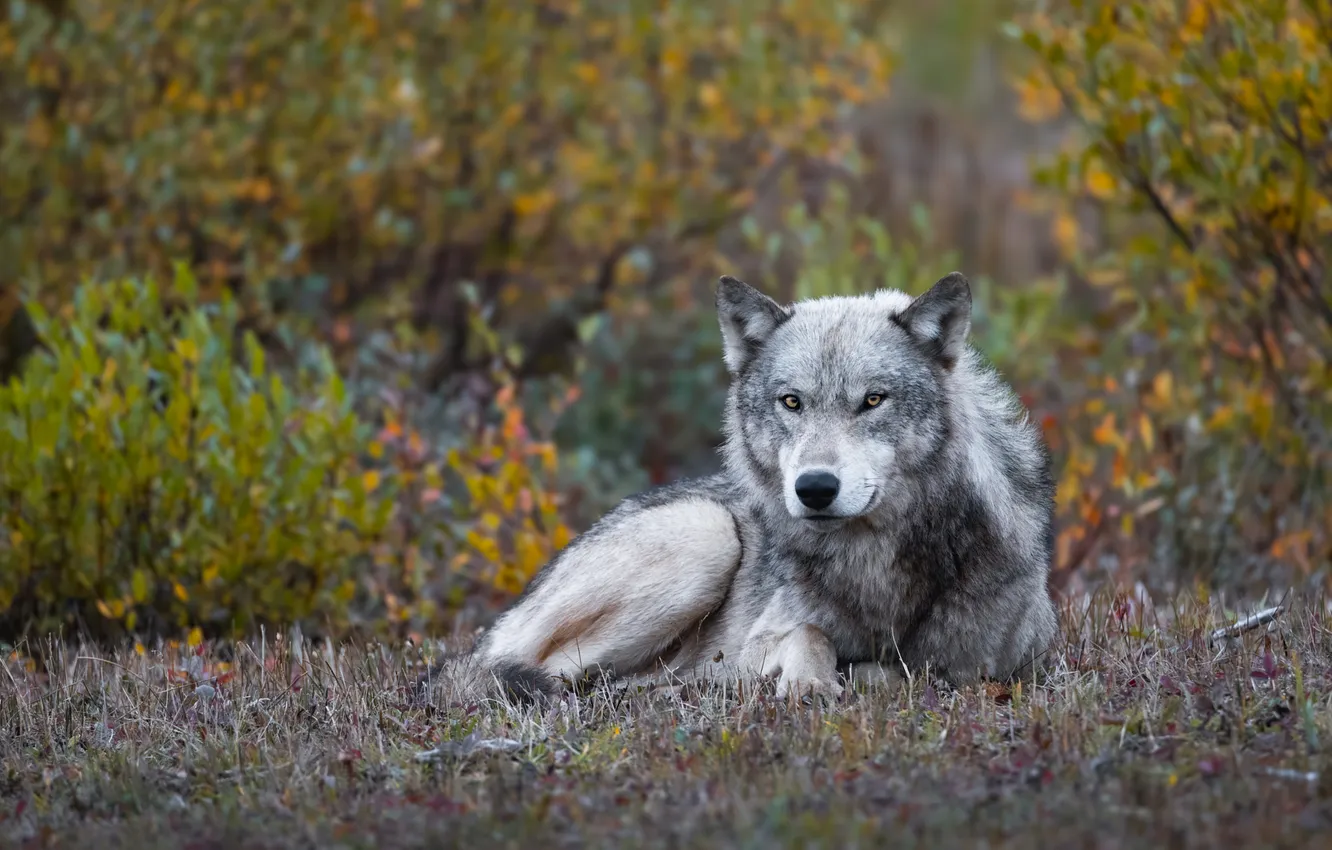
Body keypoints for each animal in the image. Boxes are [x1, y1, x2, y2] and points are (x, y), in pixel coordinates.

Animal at [441, 271, 1059, 702]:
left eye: (872, 400)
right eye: (791, 401)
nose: (815, 487)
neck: (874, 567)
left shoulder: (1001, 664)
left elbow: (910, 669)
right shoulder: (755, 641)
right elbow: (811, 635)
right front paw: (809, 683)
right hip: (705, 535)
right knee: (553, 676)